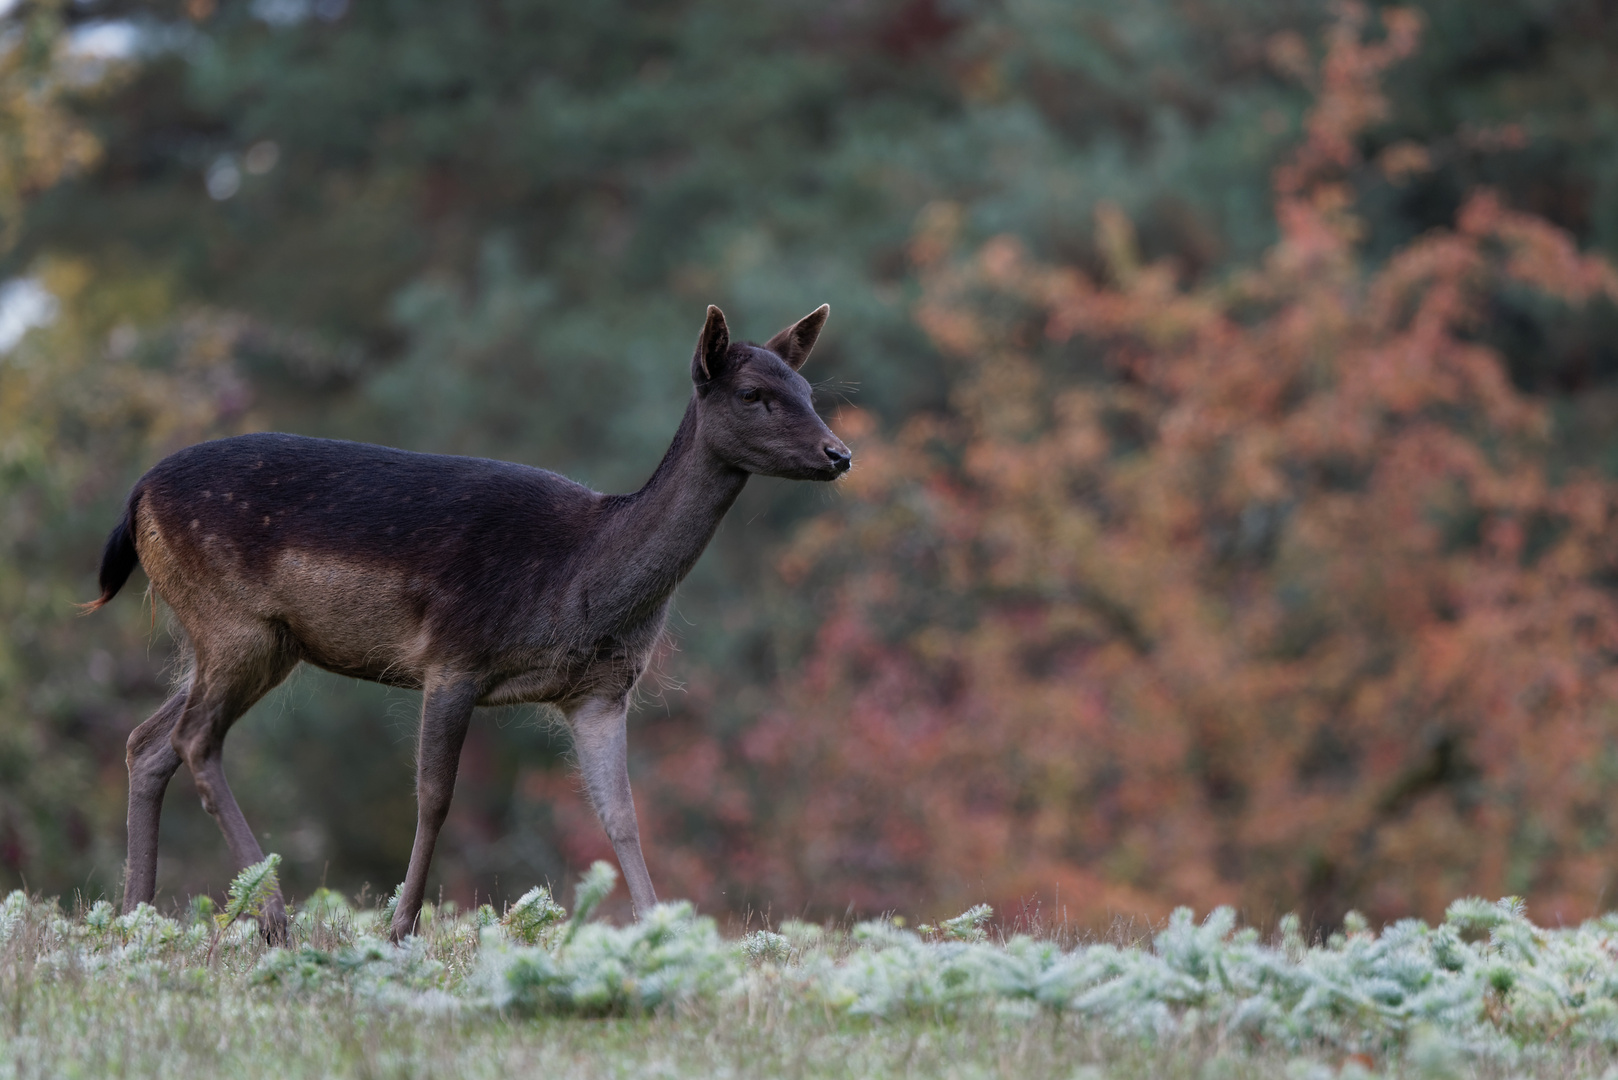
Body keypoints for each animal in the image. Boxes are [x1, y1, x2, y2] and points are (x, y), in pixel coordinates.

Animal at [88, 302, 854, 939]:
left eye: (809, 391)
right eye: (753, 395)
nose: (839, 453)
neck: (580, 585)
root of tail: (134, 498)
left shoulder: (600, 691)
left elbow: (621, 816)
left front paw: (657, 929)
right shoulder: (454, 657)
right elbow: (434, 797)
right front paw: (400, 927)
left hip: (255, 641)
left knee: (147, 740)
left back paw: (134, 915)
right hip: (232, 621)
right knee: (195, 739)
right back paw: (274, 917)